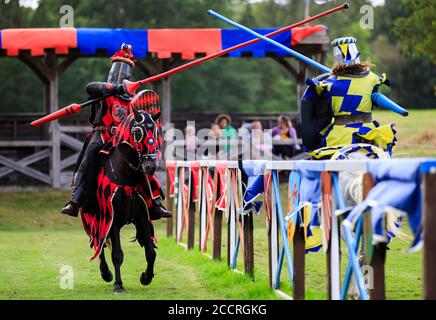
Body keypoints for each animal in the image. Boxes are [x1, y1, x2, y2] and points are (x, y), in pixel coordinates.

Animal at [81, 107, 161, 292]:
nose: (150, 167)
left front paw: (146, 277)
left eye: (156, 131)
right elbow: (117, 254)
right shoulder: (113, 220)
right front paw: (118, 285)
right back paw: (105, 273)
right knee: (100, 245)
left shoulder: (142, 218)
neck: (127, 178)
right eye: (138, 132)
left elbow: (150, 252)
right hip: (96, 220)